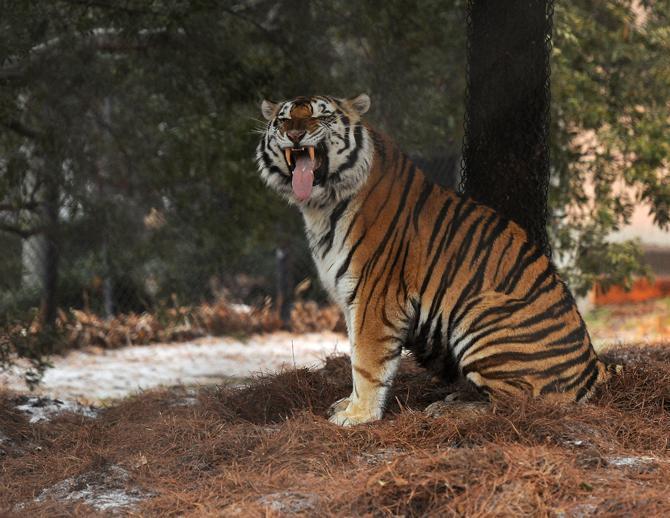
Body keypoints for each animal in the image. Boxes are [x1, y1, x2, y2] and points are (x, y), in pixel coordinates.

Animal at [256, 93, 620, 426]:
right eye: (284, 119)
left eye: (322, 116)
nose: (295, 134)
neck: (320, 206)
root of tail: (594, 368)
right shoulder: (350, 297)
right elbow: (355, 354)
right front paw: (347, 404)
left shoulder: (374, 294)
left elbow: (366, 361)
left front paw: (358, 415)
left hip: (481, 311)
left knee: (516, 403)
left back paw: (449, 409)